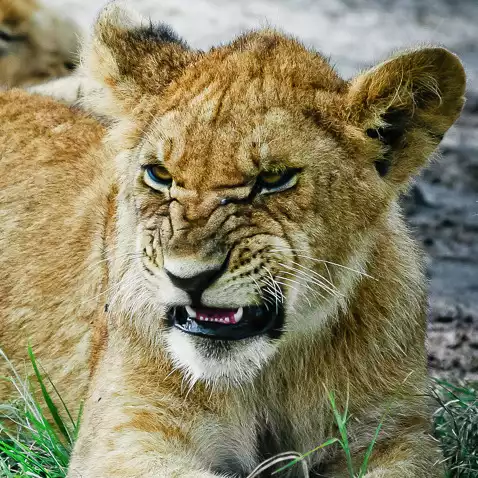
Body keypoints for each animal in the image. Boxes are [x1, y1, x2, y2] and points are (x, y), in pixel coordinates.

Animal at [0, 3, 466, 477]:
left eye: (275, 179)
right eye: (160, 174)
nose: (187, 278)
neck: (270, 375)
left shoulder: (398, 435)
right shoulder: (125, 436)